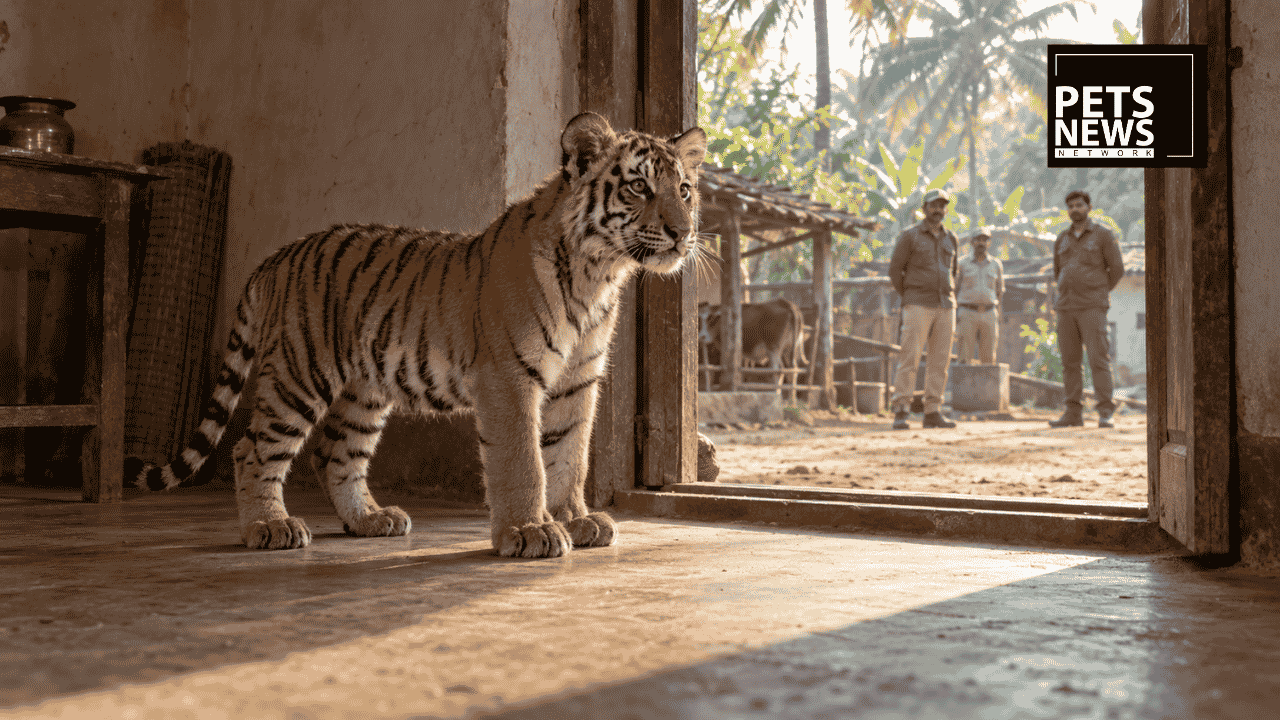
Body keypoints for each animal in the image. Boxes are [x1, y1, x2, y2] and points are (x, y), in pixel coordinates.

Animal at [125, 111, 707, 558]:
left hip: (363, 390)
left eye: (684, 190)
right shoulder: (509, 378)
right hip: (299, 372)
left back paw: (370, 519)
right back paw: (269, 527)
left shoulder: (577, 381)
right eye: (639, 186)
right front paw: (530, 531)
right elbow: (523, 460)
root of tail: (279, 255)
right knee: (253, 448)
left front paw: (575, 519)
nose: (684, 233)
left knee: (335, 453)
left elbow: (569, 454)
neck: (598, 274)